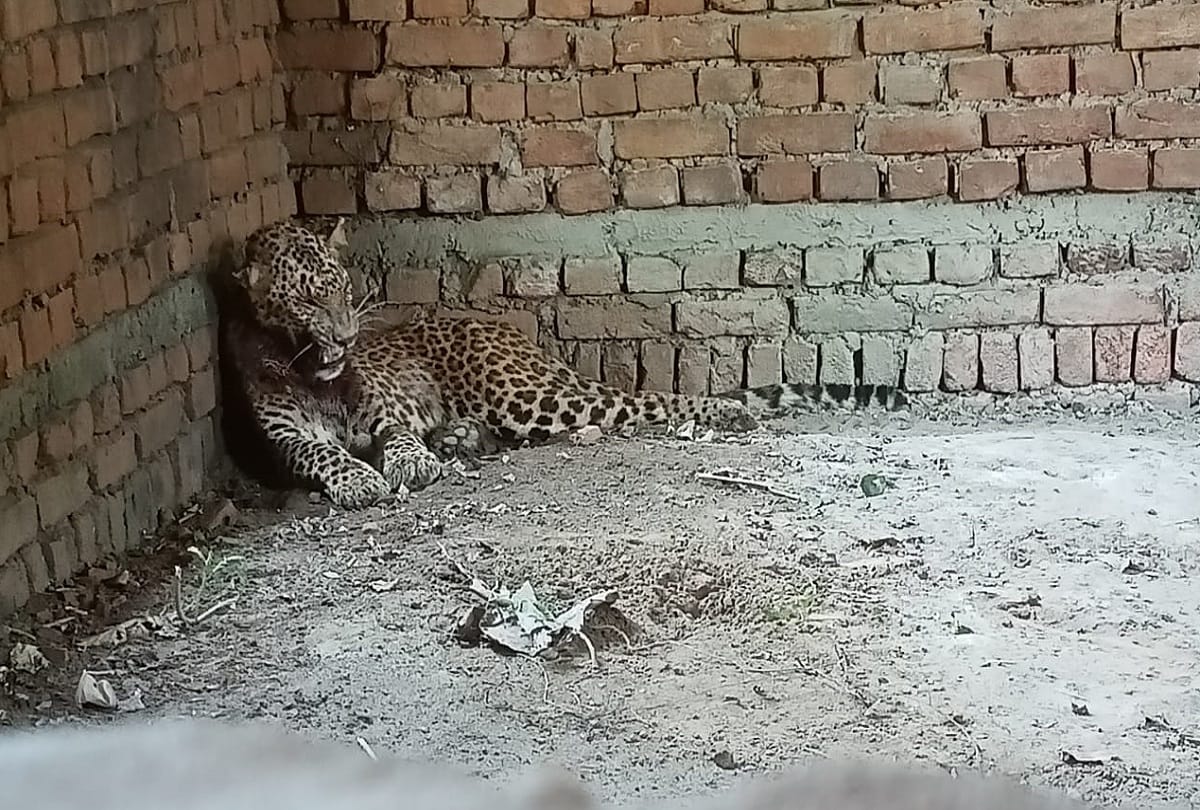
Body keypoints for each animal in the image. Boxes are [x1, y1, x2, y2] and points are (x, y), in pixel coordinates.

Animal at [219, 220, 908, 509]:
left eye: (340, 285)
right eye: (309, 297)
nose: (345, 332)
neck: (310, 368)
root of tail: (507, 329)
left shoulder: (381, 408)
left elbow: (397, 437)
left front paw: (410, 463)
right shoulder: (284, 438)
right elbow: (323, 452)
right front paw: (360, 478)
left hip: (526, 395)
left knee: (643, 403)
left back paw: (723, 414)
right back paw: (458, 438)